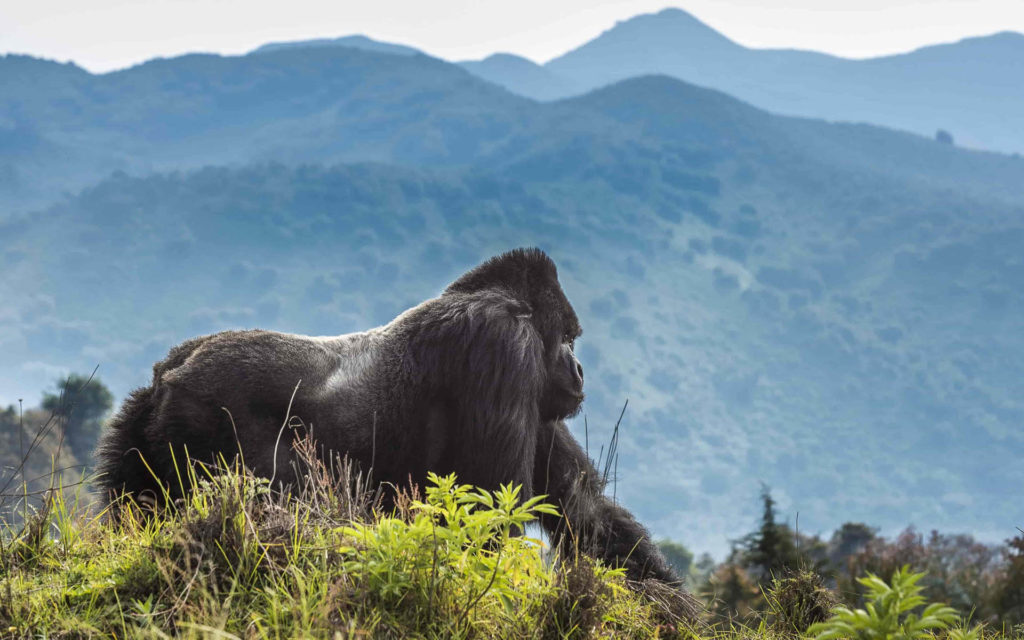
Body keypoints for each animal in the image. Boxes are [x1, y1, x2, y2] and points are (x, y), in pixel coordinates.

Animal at [97, 248, 679, 585]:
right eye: (571, 340)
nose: (579, 370)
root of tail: (168, 371)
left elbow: (587, 513)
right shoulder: (505, 348)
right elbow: (490, 510)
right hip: (201, 413)